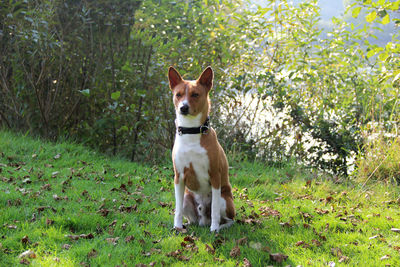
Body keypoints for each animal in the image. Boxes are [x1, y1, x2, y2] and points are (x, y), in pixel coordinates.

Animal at [168, 65, 234, 232]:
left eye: (195, 94)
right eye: (178, 95)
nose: (183, 108)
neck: (191, 131)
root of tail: (203, 220)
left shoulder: (215, 176)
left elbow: (215, 209)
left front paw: (214, 229)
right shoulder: (179, 176)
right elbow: (177, 209)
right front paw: (177, 226)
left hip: (225, 199)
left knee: (229, 219)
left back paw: (220, 226)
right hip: (187, 197)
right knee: (191, 217)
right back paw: (188, 224)